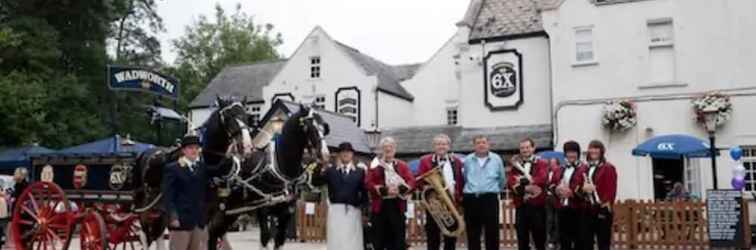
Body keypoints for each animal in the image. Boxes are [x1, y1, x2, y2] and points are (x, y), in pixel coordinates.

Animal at [133, 96, 254, 247]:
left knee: (158, 235)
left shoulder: (214, 214)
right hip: (145, 209)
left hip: (161, 212)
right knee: (145, 236)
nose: (247, 146)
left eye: (246, 116)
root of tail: (146, 152)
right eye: (228, 117)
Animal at [204, 104, 330, 250]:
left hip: (229, 211)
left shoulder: (286, 213)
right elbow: (265, 238)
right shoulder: (263, 210)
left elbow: (279, 240)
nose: (325, 155)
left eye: (323, 127)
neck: (279, 167)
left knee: (214, 232)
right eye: (309, 126)